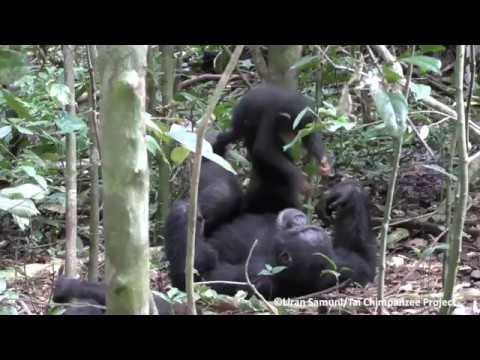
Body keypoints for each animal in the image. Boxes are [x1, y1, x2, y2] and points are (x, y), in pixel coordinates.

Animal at [167, 179, 376, 300]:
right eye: (301, 228)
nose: (298, 219)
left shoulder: (255, 275)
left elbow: (197, 279)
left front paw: (184, 211)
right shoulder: (343, 267)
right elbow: (364, 262)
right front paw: (347, 193)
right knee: (226, 194)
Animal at [212, 83, 332, 214]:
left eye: (303, 128)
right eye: (293, 128)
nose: (293, 135)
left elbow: (310, 138)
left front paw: (324, 163)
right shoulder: (271, 114)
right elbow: (264, 149)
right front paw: (299, 179)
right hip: (240, 118)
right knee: (234, 135)